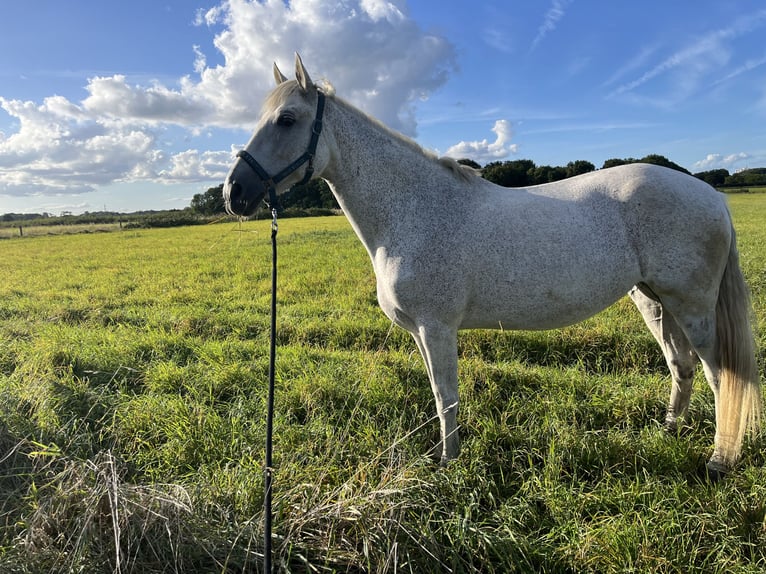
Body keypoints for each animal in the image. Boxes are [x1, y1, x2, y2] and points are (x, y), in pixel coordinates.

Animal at [224, 54, 760, 480]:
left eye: (287, 119)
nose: (235, 194)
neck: (415, 208)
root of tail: (712, 194)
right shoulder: (422, 332)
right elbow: (439, 395)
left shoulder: (437, 327)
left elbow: (447, 397)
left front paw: (449, 466)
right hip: (653, 299)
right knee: (680, 365)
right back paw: (667, 432)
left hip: (692, 305)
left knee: (719, 375)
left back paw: (719, 461)